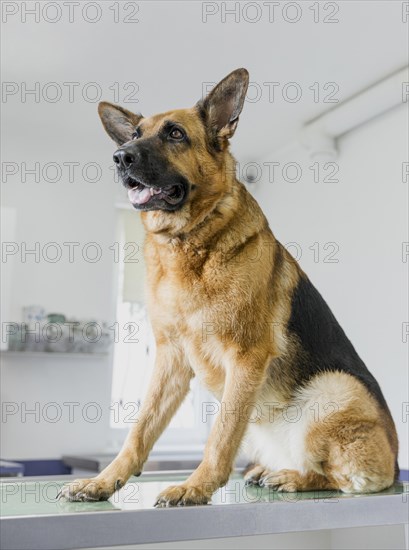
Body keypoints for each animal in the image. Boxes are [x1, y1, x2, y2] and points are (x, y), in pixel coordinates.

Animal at [61, 69, 398, 508]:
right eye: (134, 134)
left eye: (175, 133)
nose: (121, 157)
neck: (188, 242)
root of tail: (395, 458)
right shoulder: (171, 361)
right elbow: (140, 430)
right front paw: (104, 481)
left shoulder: (245, 358)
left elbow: (220, 435)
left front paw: (196, 486)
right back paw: (266, 470)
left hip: (335, 389)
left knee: (343, 479)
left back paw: (292, 477)